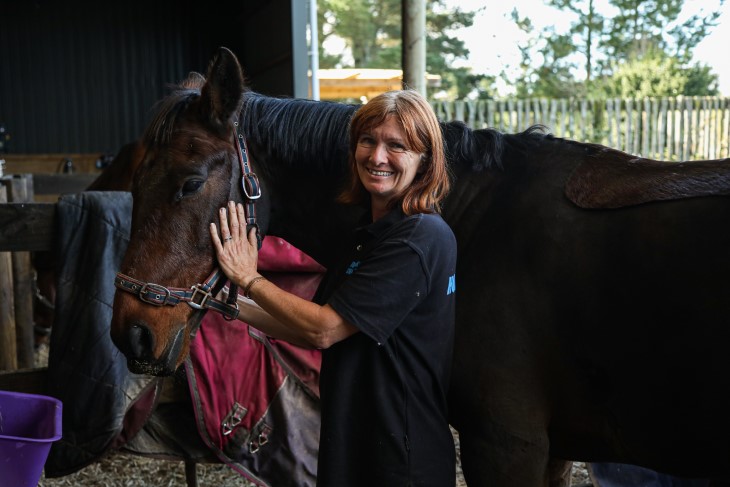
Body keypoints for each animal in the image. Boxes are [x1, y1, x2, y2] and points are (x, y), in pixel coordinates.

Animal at [109, 46, 730, 487]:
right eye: (132, 185)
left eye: (190, 184)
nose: (131, 334)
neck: (466, 216)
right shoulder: (552, 450)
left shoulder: (507, 444)